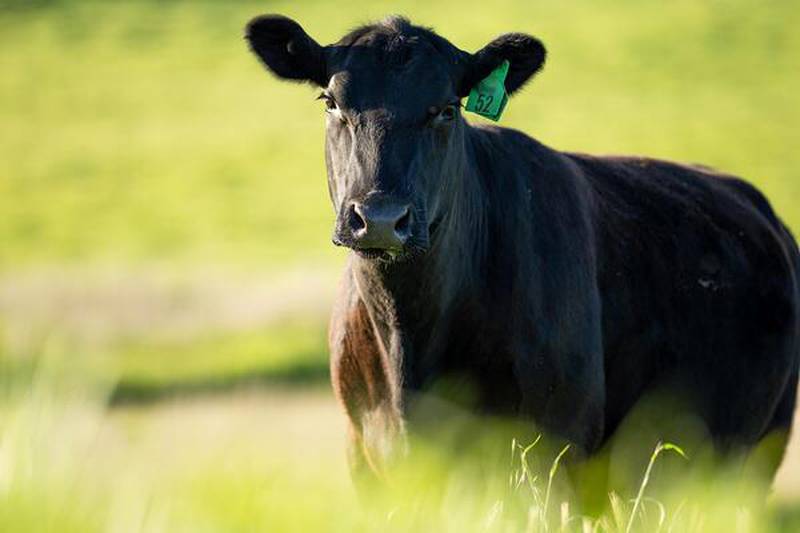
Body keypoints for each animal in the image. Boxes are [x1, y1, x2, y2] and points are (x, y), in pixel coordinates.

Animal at [245, 12, 800, 486]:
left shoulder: (555, 448)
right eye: (331, 102)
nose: (380, 218)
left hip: (756, 453)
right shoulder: (365, 456)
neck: (410, 339)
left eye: (447, 109)